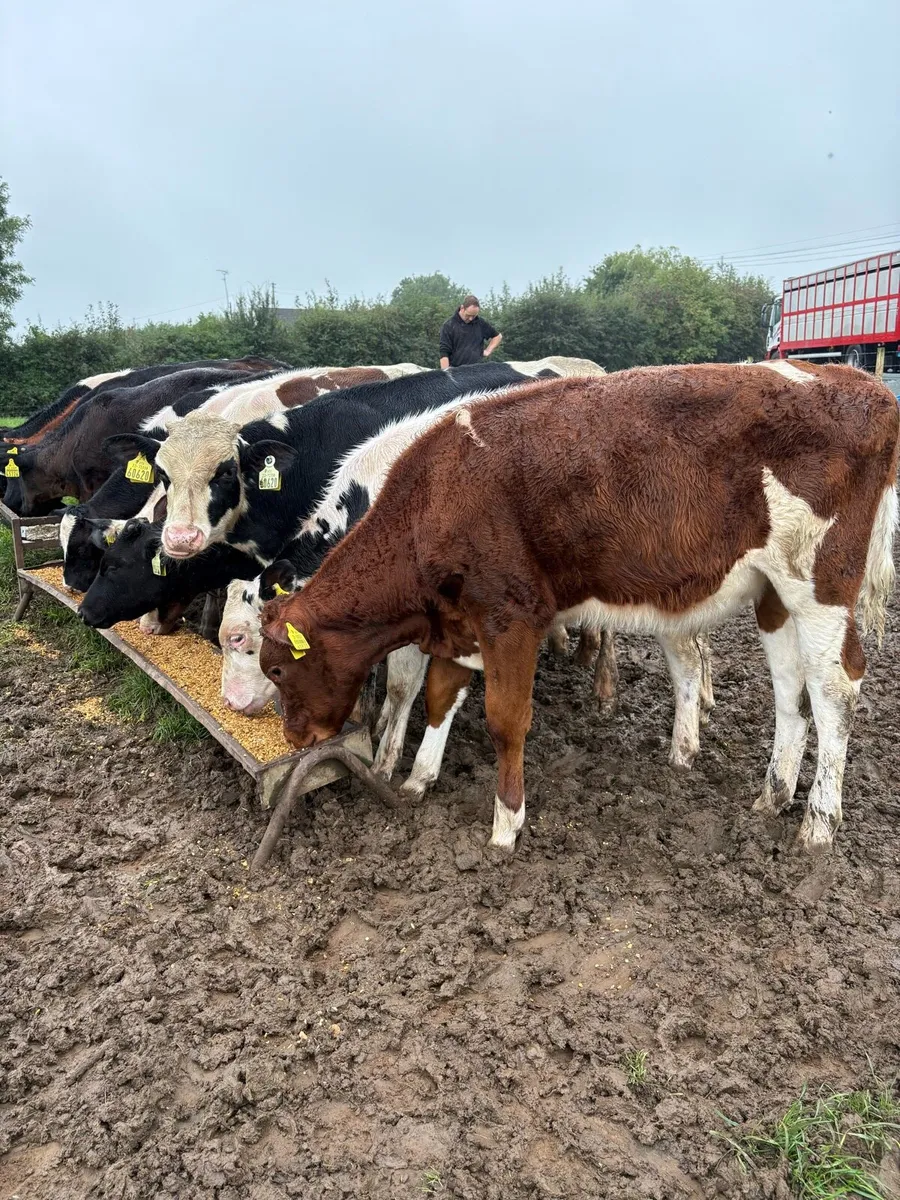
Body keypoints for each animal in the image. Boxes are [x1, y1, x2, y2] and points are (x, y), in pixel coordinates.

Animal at [258, 362, 899, 853]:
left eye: (276, 669)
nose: (295, 736)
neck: (433, 499)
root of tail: (858, 381)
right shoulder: (463, 620)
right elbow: (440, 696)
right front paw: (418, 779)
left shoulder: (512, 615)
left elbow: (504, 720)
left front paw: (505, 825)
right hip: (774, 593)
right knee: (791, 687)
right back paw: (774, 793)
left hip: (819, 583)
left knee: (834, 688)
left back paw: (819, 823)